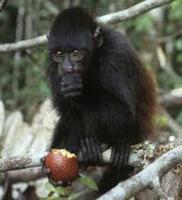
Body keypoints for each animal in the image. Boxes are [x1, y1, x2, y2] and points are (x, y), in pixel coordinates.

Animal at [45, 7, 156, 193]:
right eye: (58, 54)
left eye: (76, 53)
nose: (67, 68)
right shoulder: (53, 67)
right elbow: (66, 112)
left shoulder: (118, 54)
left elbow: (124, 112)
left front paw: (81, 89)